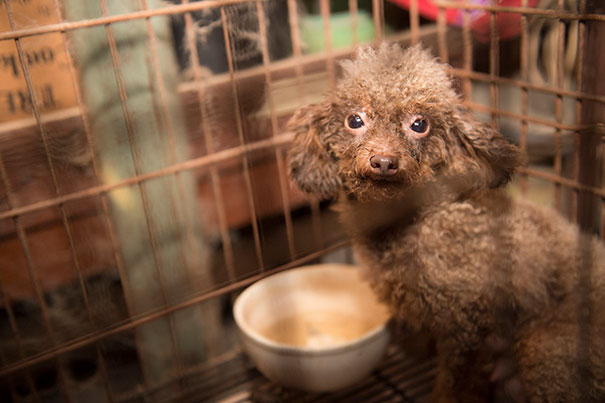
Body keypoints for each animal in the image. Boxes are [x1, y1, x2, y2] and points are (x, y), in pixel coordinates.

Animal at [286, 42, 604, 402]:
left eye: (419, 124)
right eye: (354, 120)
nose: (384, 161)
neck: (414, 222)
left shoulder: (464, 327)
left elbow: (453, 386)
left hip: (548, 353)